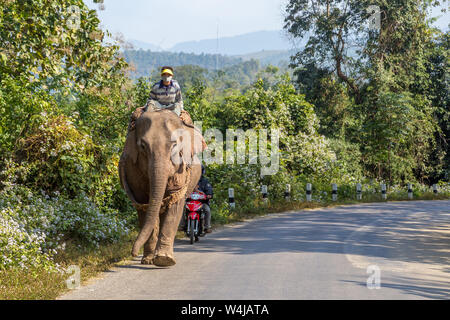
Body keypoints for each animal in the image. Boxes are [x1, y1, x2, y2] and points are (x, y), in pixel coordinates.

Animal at [119, 109, 204, 266]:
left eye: (174, 145)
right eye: (143, 146)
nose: (133, 253)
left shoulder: (180, 169)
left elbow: (175, 201)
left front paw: (164, 259)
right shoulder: (133, 168)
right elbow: (144, 204)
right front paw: (149, 260)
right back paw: (148, 259)